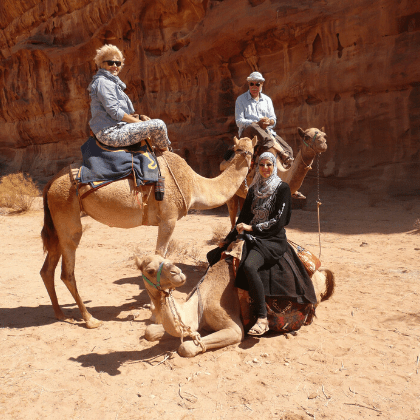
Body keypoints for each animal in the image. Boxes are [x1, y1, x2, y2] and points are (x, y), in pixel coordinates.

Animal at [137, 253, 334, 358]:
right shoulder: (194, 324)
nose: (177, 272)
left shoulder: (233, 326)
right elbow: (150, 331)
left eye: (166, 259)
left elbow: (185, 347)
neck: (199, 304)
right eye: (150, 270)